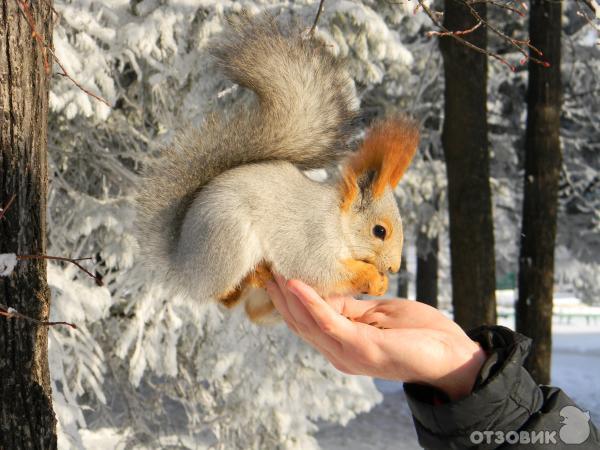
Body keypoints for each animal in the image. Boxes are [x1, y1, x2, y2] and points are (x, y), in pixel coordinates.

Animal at [135, 13, 418, 324]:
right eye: (379, 231)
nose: (393, 268)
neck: (338, 220)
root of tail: (182, 263)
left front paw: (381, 283)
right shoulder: (312, 240)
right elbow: (319, 272)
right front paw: (371, 276)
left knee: (247, 308)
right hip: (229, 243)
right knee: (222, 296)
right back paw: (255, 275)